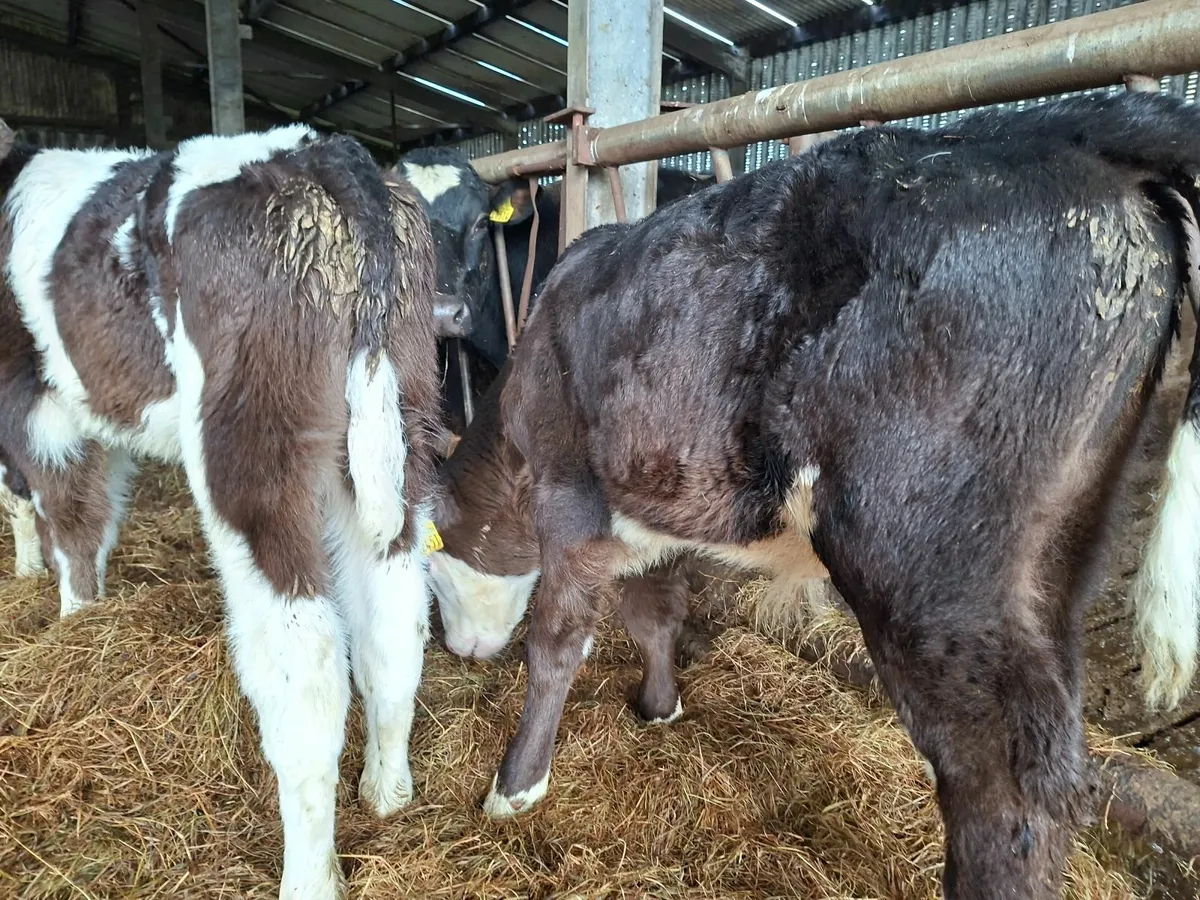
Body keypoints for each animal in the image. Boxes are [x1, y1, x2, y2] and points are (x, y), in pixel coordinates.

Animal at [1, 125, 443, 900]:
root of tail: (320, 151)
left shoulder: (31, 400)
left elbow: (62, 511)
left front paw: (71, 613)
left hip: (252, 460)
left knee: (307, 669)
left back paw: (309, 877)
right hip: (400, 429)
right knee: (394, 624)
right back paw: (387, 791)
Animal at [424, 91, 1200, 900]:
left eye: (431, 569)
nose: (459, 650)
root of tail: (1067, 125)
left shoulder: (569, 490)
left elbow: (556, 640)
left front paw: (515, 788)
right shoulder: (654, 502)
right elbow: (654, 613)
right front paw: (659, 707)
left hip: (929, 570)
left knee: (1006, 784)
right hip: (1059, 555)